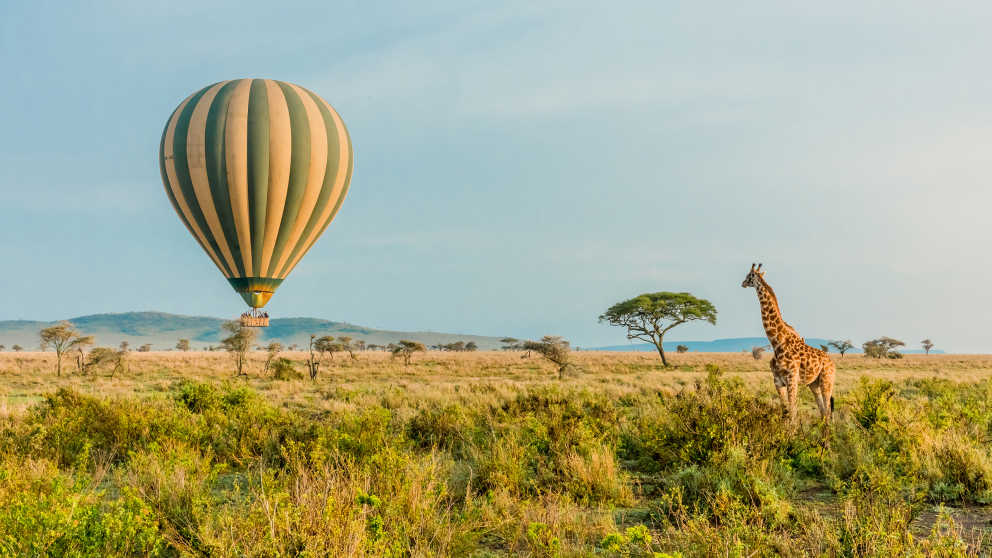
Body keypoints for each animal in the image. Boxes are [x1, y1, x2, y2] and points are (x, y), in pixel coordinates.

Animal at [740, 264, 832, 422]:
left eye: (748, 276)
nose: (743, 283)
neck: (777, 343)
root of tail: (832, 362)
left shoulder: (792, 379)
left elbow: (793, 411)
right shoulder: (778, 381)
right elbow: (785, 411)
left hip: (827, 381)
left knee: (828, 411)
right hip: (814, 384)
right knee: (822, 412)